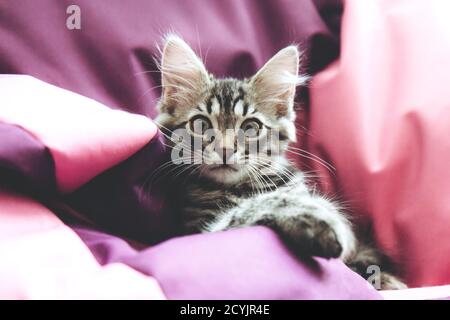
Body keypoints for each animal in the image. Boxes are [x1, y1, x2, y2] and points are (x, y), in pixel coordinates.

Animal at [155, 35, 408, 290]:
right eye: (201, 124)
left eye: (251, 127)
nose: (225, 150)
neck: (240, 187)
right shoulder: (200, 230)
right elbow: (254, 207)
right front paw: (309, 217)